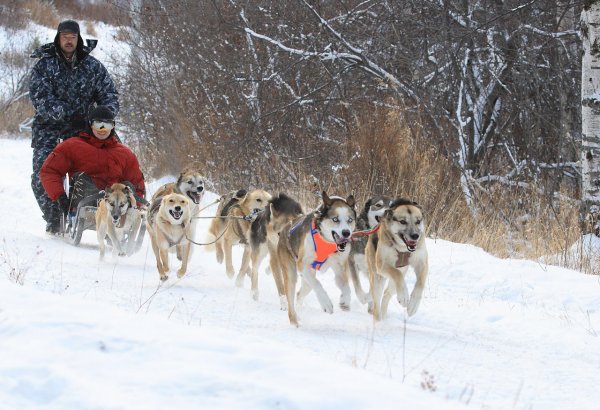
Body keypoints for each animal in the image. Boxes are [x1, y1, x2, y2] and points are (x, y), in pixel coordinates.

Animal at [278, 191, 356, 326]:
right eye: (335, 219)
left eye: (350, 220)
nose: (346, 233)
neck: (325, 240)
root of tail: (285, 229)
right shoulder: (303, 264)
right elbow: (317, 284)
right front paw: (326, 303)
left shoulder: (340, 268)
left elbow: (346, 287)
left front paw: (345, 301)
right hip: (292, 272)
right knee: (292, 299)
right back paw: (294, 321)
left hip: (306, 279)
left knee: (300, 293)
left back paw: (299, 311)